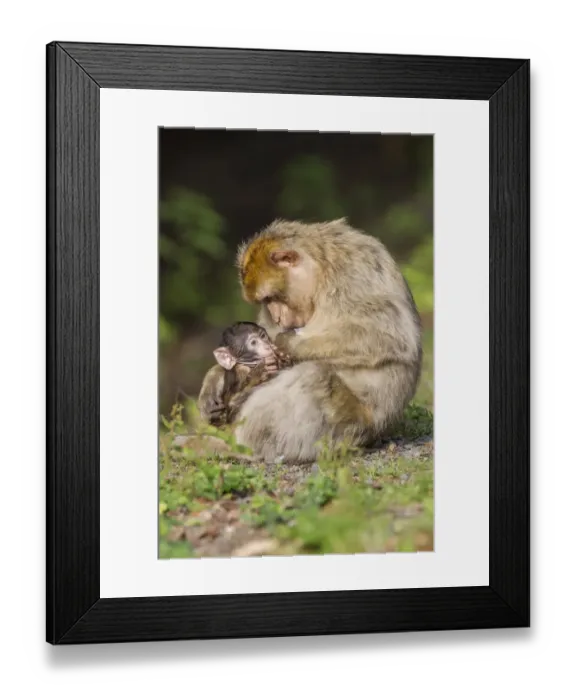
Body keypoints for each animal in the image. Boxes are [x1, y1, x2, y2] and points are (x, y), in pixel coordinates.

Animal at [197, 217, 423, 464]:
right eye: (265, 302)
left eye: (271, 298)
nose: (277, 316)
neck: (321, 272)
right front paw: (214, 379)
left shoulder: (355, 273)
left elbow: (386, 336)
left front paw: (286, 344)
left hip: (348, 429)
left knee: (313, 375)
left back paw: (242, 448)